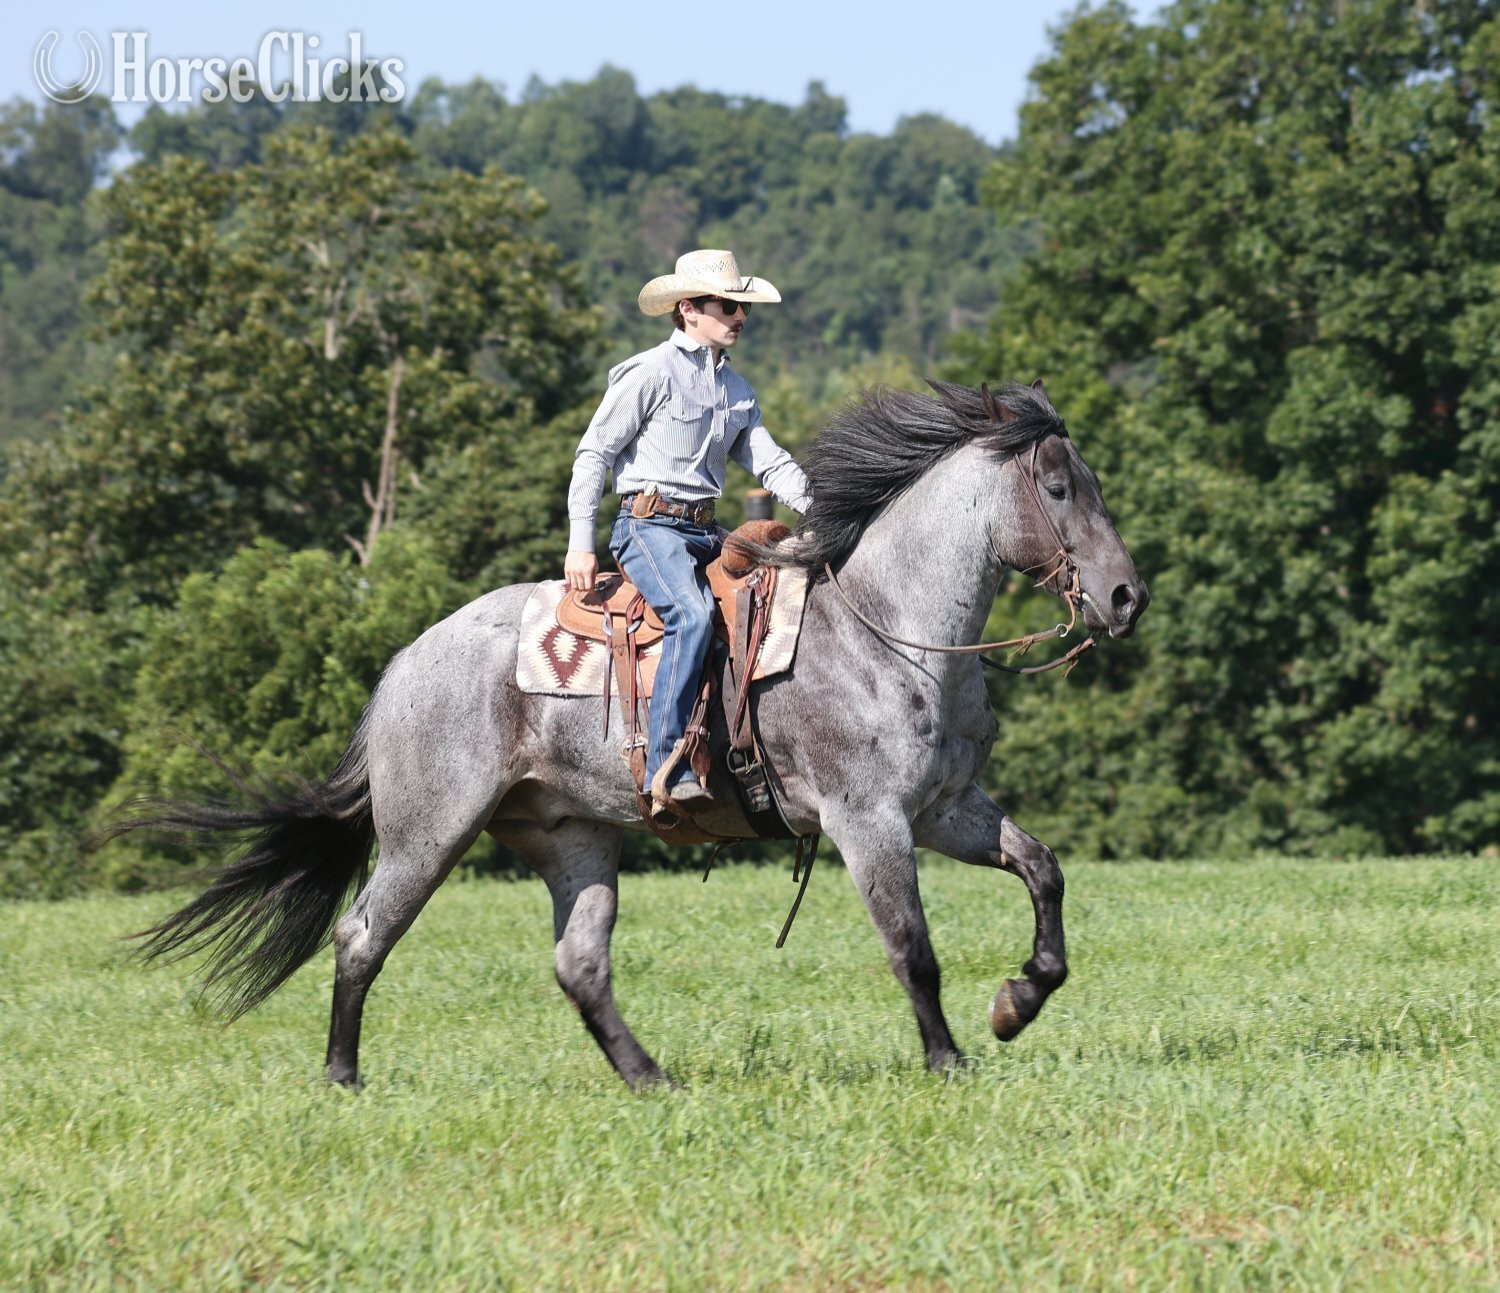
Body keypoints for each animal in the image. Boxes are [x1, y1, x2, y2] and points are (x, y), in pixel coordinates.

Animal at [129, 378, 1149, 1088]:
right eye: (1059, 486)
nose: (1126, 596)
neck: (886, 626)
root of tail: (404, 665)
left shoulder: (946, 807)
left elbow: (1043, 869)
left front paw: (1019, 999)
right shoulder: (870, 822)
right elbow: (914, 948)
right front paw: (949, 1059)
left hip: (572, 835)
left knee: (580, 965)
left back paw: (650, 1075)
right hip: (428, 833)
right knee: (362, 934)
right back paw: (343, 1075)